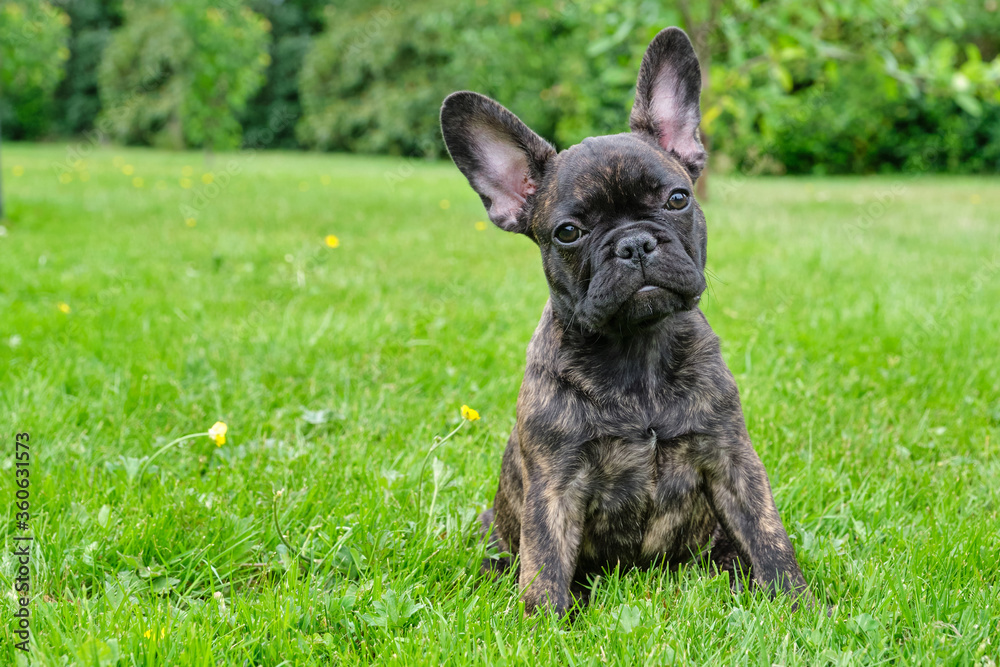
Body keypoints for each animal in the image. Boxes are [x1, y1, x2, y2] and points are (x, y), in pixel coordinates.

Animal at [440, 28, 812, 620]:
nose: (634, 243)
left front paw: (796, 603)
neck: (637, 351)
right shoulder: (554, 485)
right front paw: (546, 624)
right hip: (495, 534)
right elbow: (545, 562)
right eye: (568, 232)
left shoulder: (732, 459)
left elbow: (767, 533)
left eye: (678, 198)